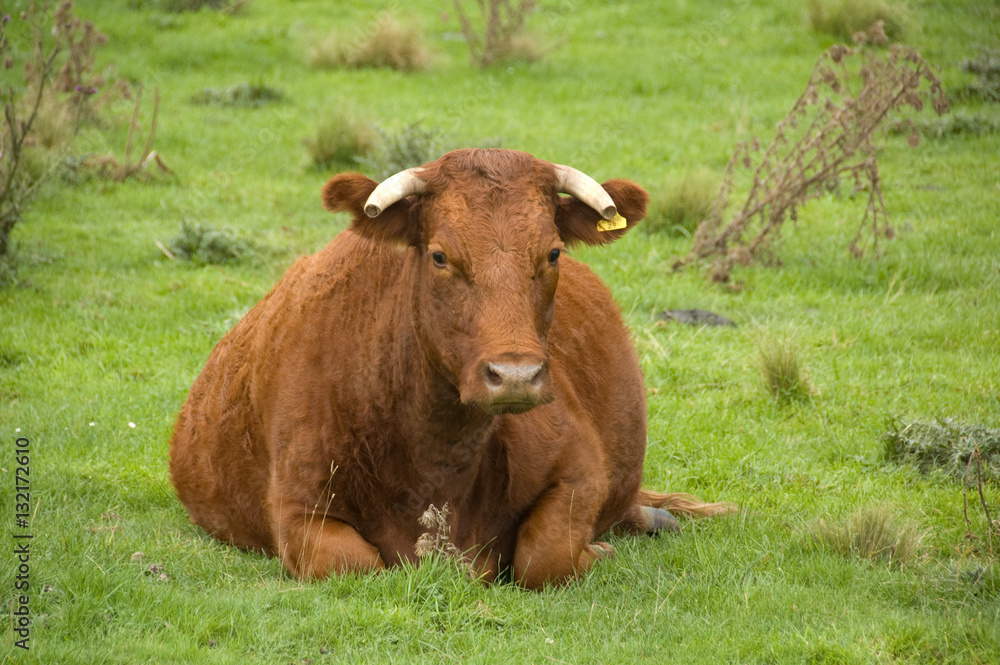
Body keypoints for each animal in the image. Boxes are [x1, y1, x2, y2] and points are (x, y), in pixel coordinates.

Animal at [170, 149, 736, 588]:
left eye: (553, 253)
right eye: (440, 256)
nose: (514, 375)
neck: (435, 462)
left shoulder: (582, 467)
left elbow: (544, 555)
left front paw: (597, 549)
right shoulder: (295, 509)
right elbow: (353, 563)